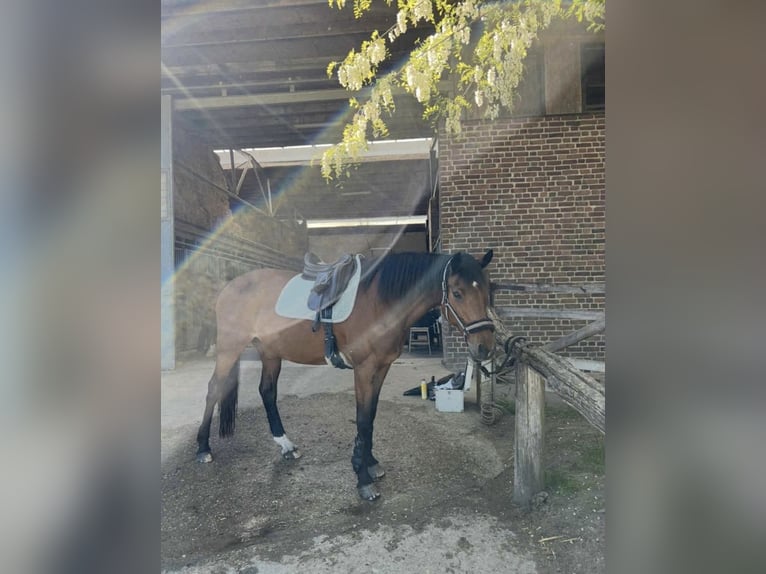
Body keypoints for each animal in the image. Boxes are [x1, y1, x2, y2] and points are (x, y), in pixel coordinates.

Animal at [195, 249, 496, 500]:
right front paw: (363, 480)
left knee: (267, 392)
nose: (484, 347)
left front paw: (370, 464)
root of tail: (230, 286)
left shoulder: (381, 368)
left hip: (270, 353)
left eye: (488, 291)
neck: (379, 302)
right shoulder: (364, 369)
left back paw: (286, 446)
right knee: (213, 389)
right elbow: (362, 420)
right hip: (229, 348)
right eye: (457, 293)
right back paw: (202, 449)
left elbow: (371, 417)